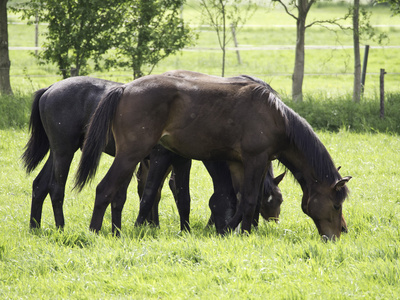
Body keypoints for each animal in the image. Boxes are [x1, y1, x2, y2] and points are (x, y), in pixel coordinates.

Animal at [21, 75, 286, 234]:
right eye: (272, 201)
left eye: (279, 201)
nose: (273, 222)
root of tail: (50, 89)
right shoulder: (160, 159)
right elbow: (150, 193)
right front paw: (146, 226)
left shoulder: (180, 160)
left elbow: (178, 196)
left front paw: (174, 228)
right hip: (64, 151)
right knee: (56, 188)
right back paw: (60, 227)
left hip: (59, 152)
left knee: (40, 185)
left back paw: (35, 227)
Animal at [76, 71, 352, 240]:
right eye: (336, 205)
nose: (340, 232)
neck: (275, 117)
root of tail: (124, 89)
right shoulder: (255, 160)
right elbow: (248, 199)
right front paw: (238, 232)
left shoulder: (240, 164)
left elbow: (242, 199)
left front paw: (236, 230)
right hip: (131, 155)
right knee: (104, 189)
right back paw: (94, 232)